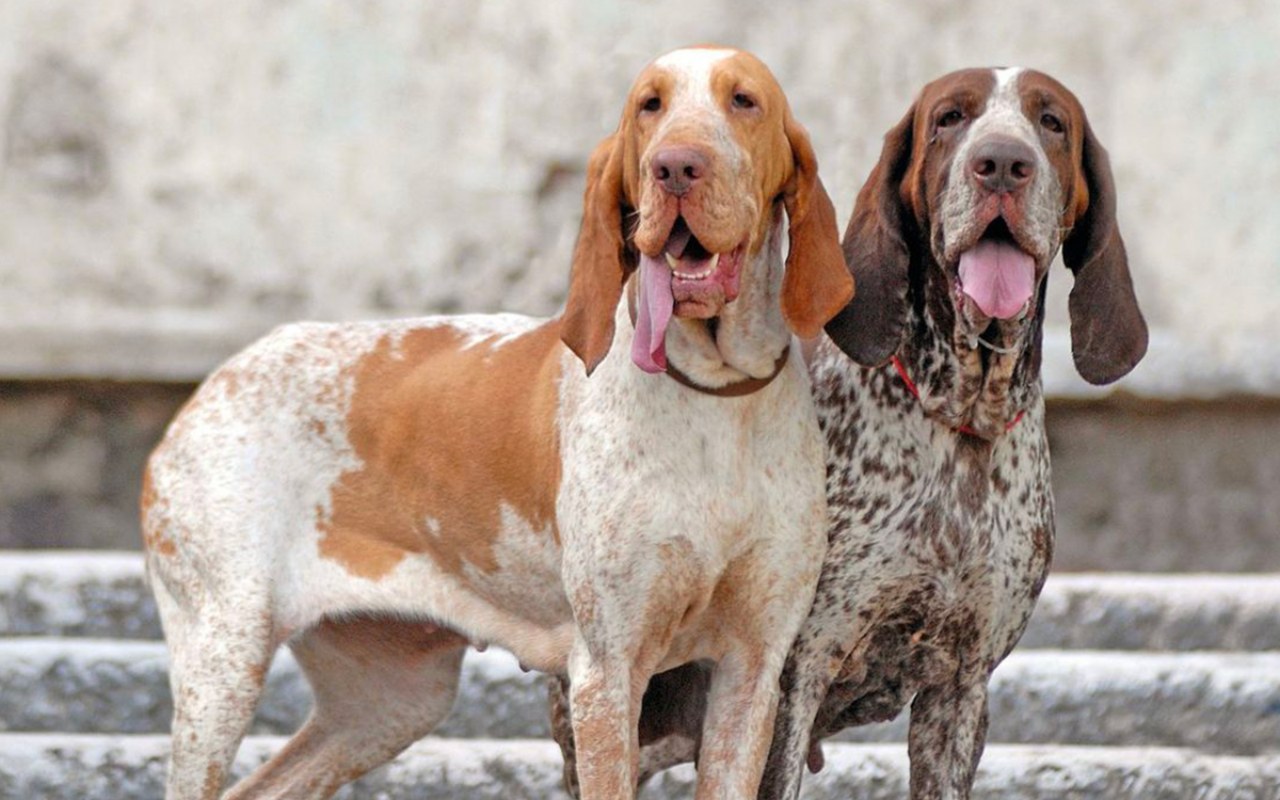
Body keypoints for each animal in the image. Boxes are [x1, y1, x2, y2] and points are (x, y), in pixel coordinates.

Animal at [142, 48, 849, 798]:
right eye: (648, 106)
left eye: (744, 101)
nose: (676, 167)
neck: (718, 396)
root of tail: (209, 388)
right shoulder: (608, 673)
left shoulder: (751, 672)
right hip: (223, 661)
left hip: (391, 698)